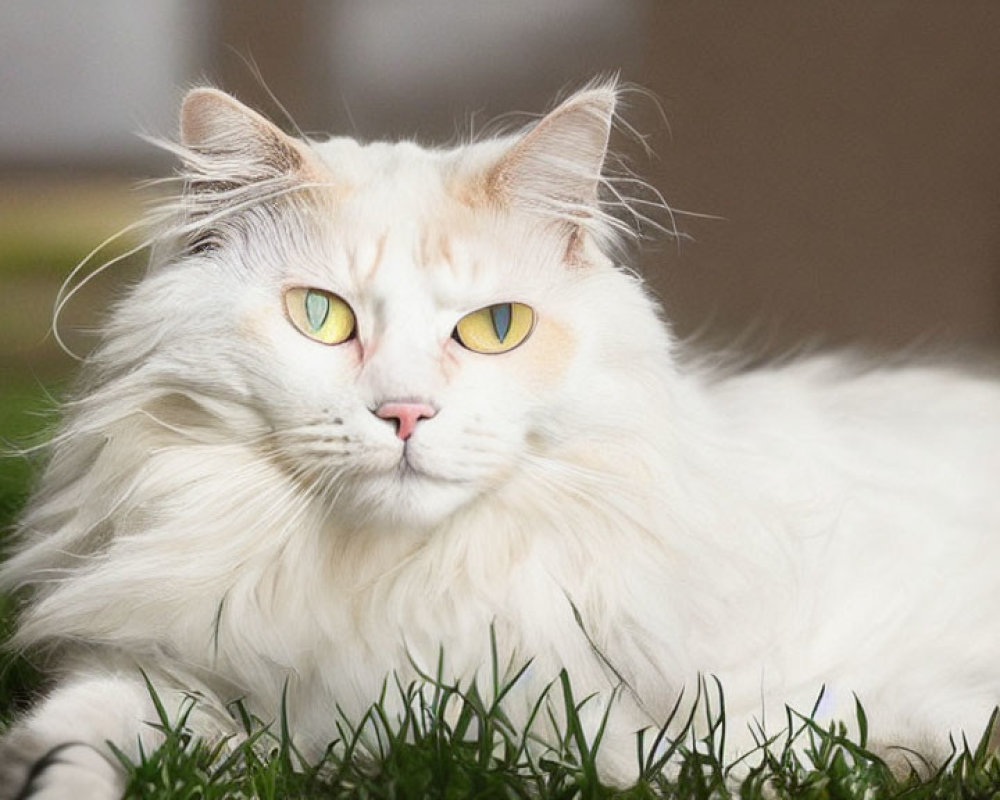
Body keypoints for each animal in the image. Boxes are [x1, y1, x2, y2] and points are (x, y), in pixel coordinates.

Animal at [1, 79, 1000, 792]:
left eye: (495, 329)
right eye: (321, 316)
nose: (406, 413)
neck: (395, 591)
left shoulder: (592, 721)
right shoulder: (174, 676)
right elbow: (89, 724)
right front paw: (43, 774)